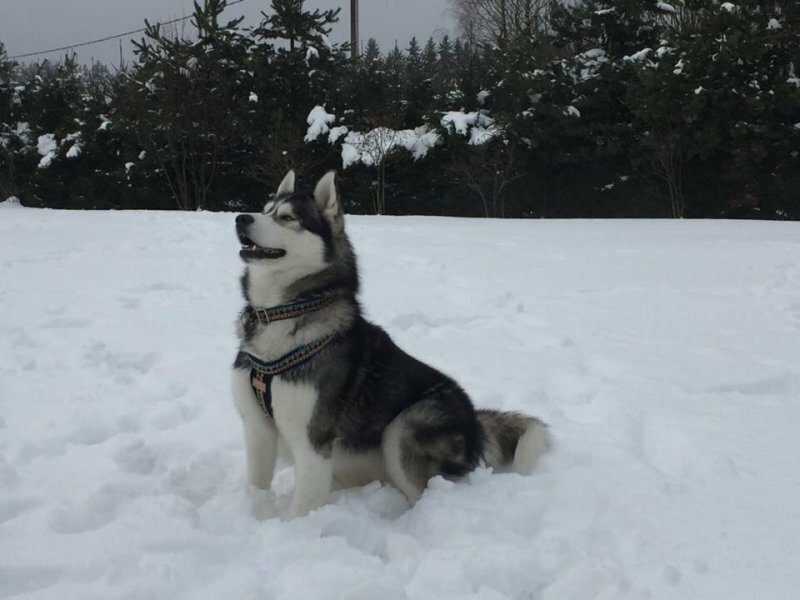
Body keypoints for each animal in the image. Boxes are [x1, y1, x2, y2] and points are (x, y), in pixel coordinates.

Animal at [228, 169, 548, 516]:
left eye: (287, 218)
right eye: (265, 209)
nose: (241, 218)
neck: (283, 313)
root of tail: (476, 422)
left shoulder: (313, 439)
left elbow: (302, 509)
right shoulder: (257, 430)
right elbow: (257, 484)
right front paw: (254, 513)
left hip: (405, 426)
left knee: (421, 491)